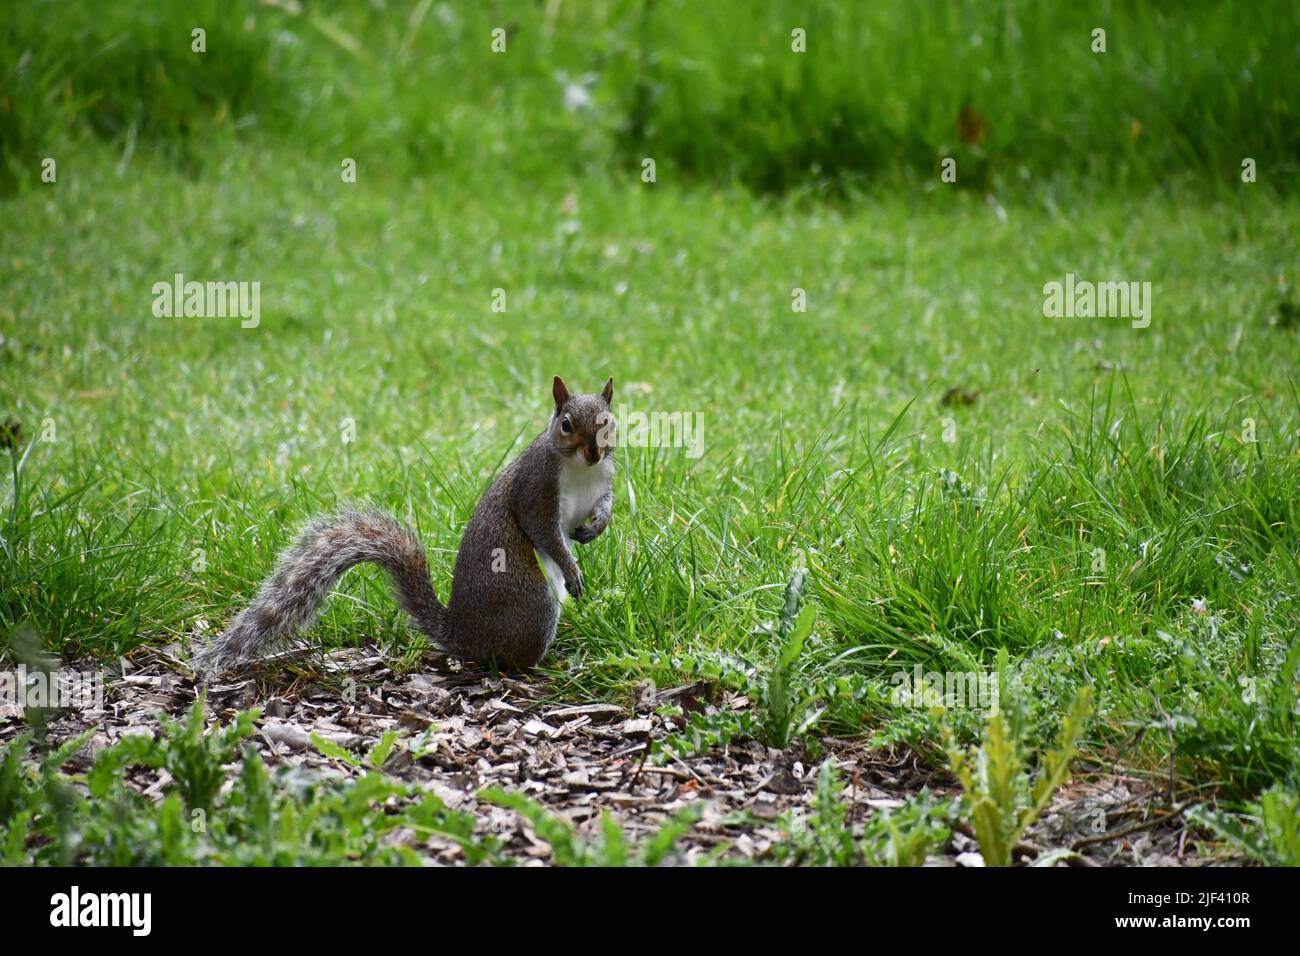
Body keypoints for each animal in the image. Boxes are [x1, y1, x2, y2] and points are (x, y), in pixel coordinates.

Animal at [195, 377, 616, 676]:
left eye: (609, 422)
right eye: (565, 424)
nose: (594, 451)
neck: (581, 470)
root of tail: (462, 635)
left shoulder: (603, 481)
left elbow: (603, 507)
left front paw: (595, 528)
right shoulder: (534, 488)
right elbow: (543, 531)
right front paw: (572, 569)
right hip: (532, 602)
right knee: (510, 661)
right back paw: (545, 667)